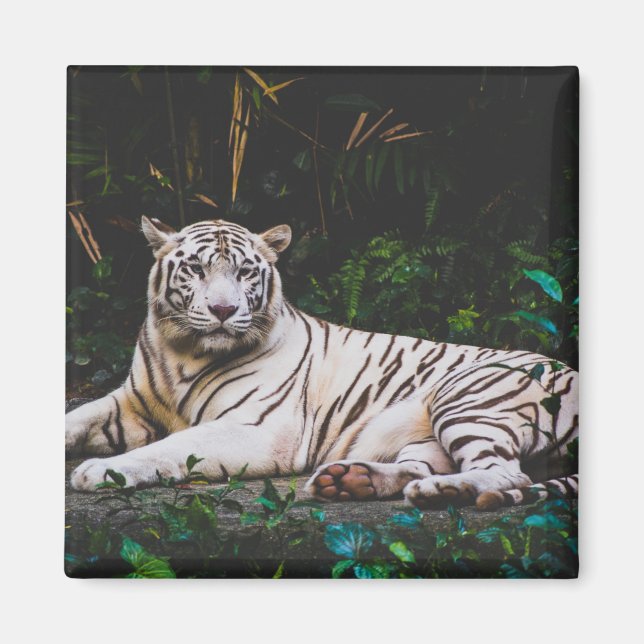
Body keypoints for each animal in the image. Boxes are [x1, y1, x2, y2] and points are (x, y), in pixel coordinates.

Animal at [66, 216, 579, 511]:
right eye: (196, 269)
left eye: (245, 272)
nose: (223, 310)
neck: (184, 351)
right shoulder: (129, 405)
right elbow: (76, 417)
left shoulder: (258, 428)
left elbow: (171, 447)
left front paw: (99, 471)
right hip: (426, 435)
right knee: (423, 467)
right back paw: (353, 482)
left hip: (467, 397)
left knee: (507, 473)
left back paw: (443, 493)